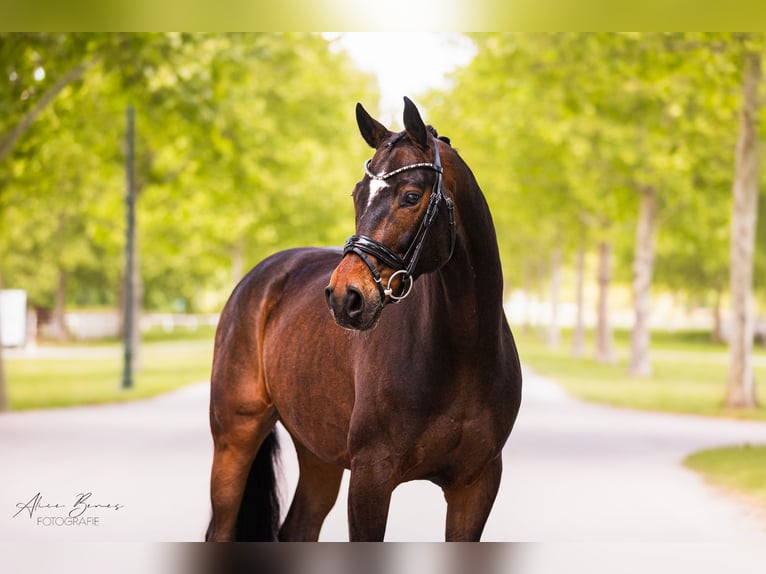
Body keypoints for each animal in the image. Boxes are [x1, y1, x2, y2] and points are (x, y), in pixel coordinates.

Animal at [206, 97, 522, 542]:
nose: (345, 297)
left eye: (411, 195)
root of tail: (261, 277)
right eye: (358, 194)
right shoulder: (371, 477)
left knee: (299, 527)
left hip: (318, 452)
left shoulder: (476, 484)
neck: (463, 353)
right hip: (234, 439)